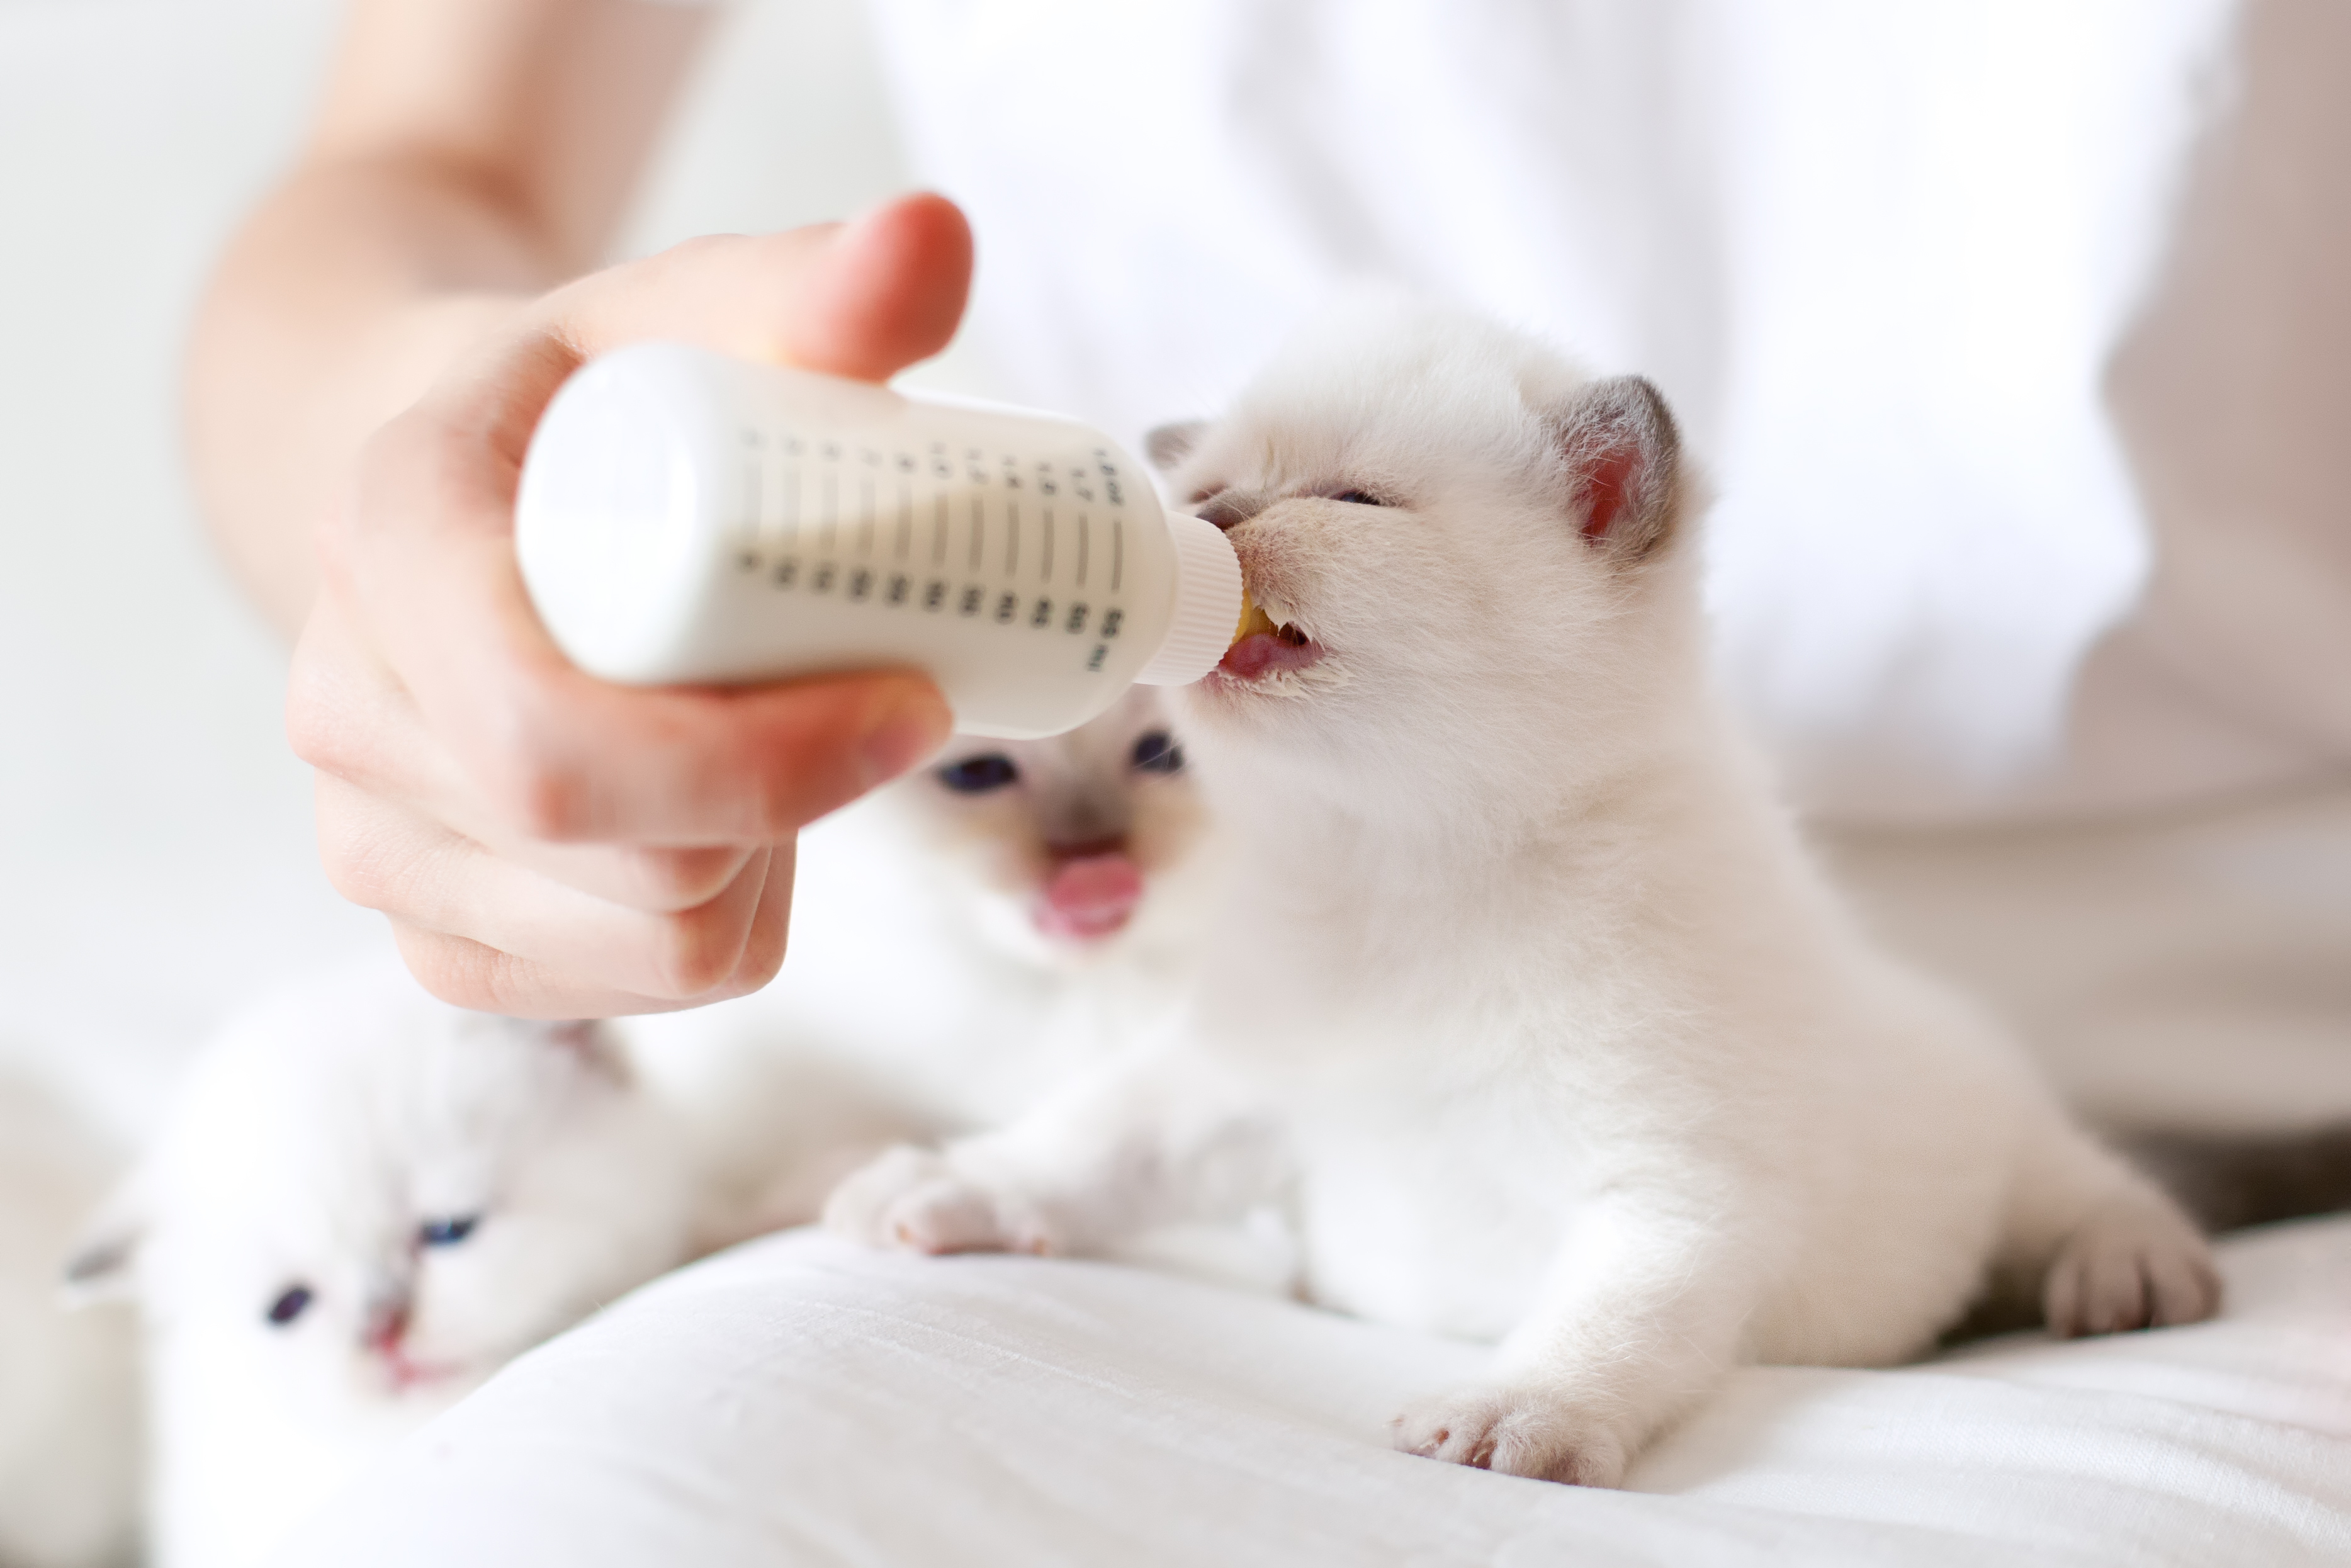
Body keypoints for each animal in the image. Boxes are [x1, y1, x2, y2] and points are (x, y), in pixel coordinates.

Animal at [842, 312, 2219, 1495]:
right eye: (1208, 490)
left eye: (1352, 502)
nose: (1214, 518)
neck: (1410, 875)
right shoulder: (1233, 1083)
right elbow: (1089, 1144)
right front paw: (947, 1190)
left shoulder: (1671, 1186)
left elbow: (1608, 1321)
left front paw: (1518, 1409)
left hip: (2002, 1155)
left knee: (2086, 1189)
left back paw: (2130, 1268)